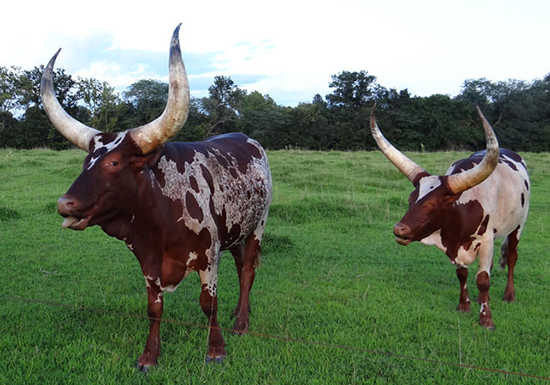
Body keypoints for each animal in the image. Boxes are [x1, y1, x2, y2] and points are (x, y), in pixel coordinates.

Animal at [41, 24, 274, 368]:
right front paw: (149, 356)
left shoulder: (208, 255)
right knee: (240, 261)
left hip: (259, 224)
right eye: (86, 162)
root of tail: (248, 138)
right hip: (235, 227)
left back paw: (242, 323)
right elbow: (154, 308)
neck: (160, 217)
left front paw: (216, 351)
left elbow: (208, 303)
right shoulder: (148, 258)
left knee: (248, 270)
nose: (64, 204)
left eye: (114, 163)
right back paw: (238, 312)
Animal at [370, 106, 532, 328]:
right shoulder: (459, 245)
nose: (399, 229)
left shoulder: (486, 239)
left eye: (432, 204)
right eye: (411, 199)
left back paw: (509, 295)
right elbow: (462, 274)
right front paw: (464, 305)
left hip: (518, 226)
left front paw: (486, 319)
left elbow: (483, 279)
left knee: (512, 257)